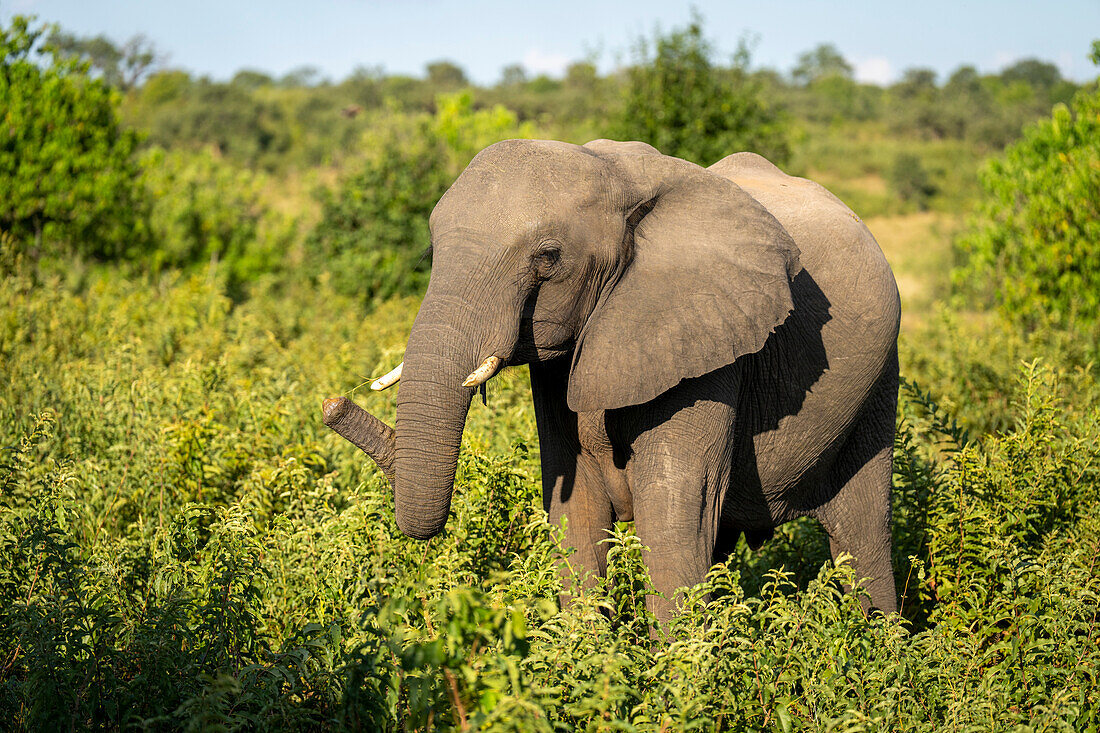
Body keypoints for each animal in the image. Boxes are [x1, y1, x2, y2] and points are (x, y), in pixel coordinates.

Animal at [321, 137, 902, 616]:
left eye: (549, 257)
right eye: (431, 250)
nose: (333, 405)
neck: (617, 176)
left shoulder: (703, 339)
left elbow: (676, 514)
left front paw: (680, 673)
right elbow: (573, 508)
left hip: (878, 380)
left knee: (861, 535)